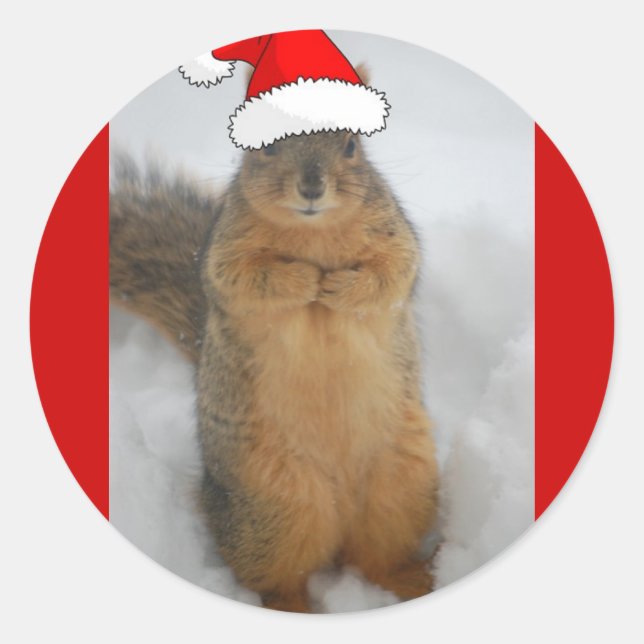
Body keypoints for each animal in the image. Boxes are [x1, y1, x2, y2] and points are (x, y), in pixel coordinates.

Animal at [110, 100, 439, 612]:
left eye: (352, 144)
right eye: (263, 145)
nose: (312, 186)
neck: (312, 230)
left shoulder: (393, 235)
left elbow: (390, 274)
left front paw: (339, 286)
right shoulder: (225, 253)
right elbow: (246, 279)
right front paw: (305, 280)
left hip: (403, 483)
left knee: (377, 557)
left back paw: (414, 579)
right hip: (274, 504)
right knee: (277, 576)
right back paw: (291, 605)